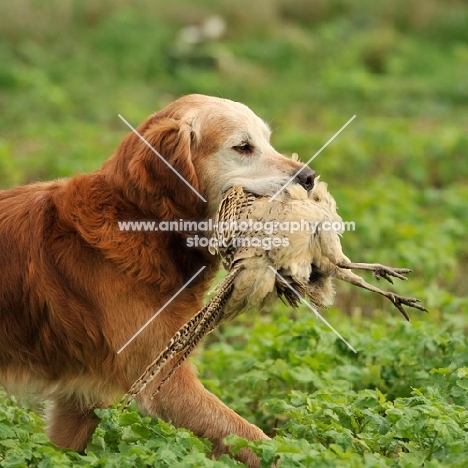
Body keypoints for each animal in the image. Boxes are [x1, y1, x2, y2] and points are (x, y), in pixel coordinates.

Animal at [0, 93, 316, 466]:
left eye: (267, 141)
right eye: (243, 147)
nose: (310, 177)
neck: (141, 222)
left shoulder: (80, 403)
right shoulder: (165, 384)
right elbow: (250, 437)